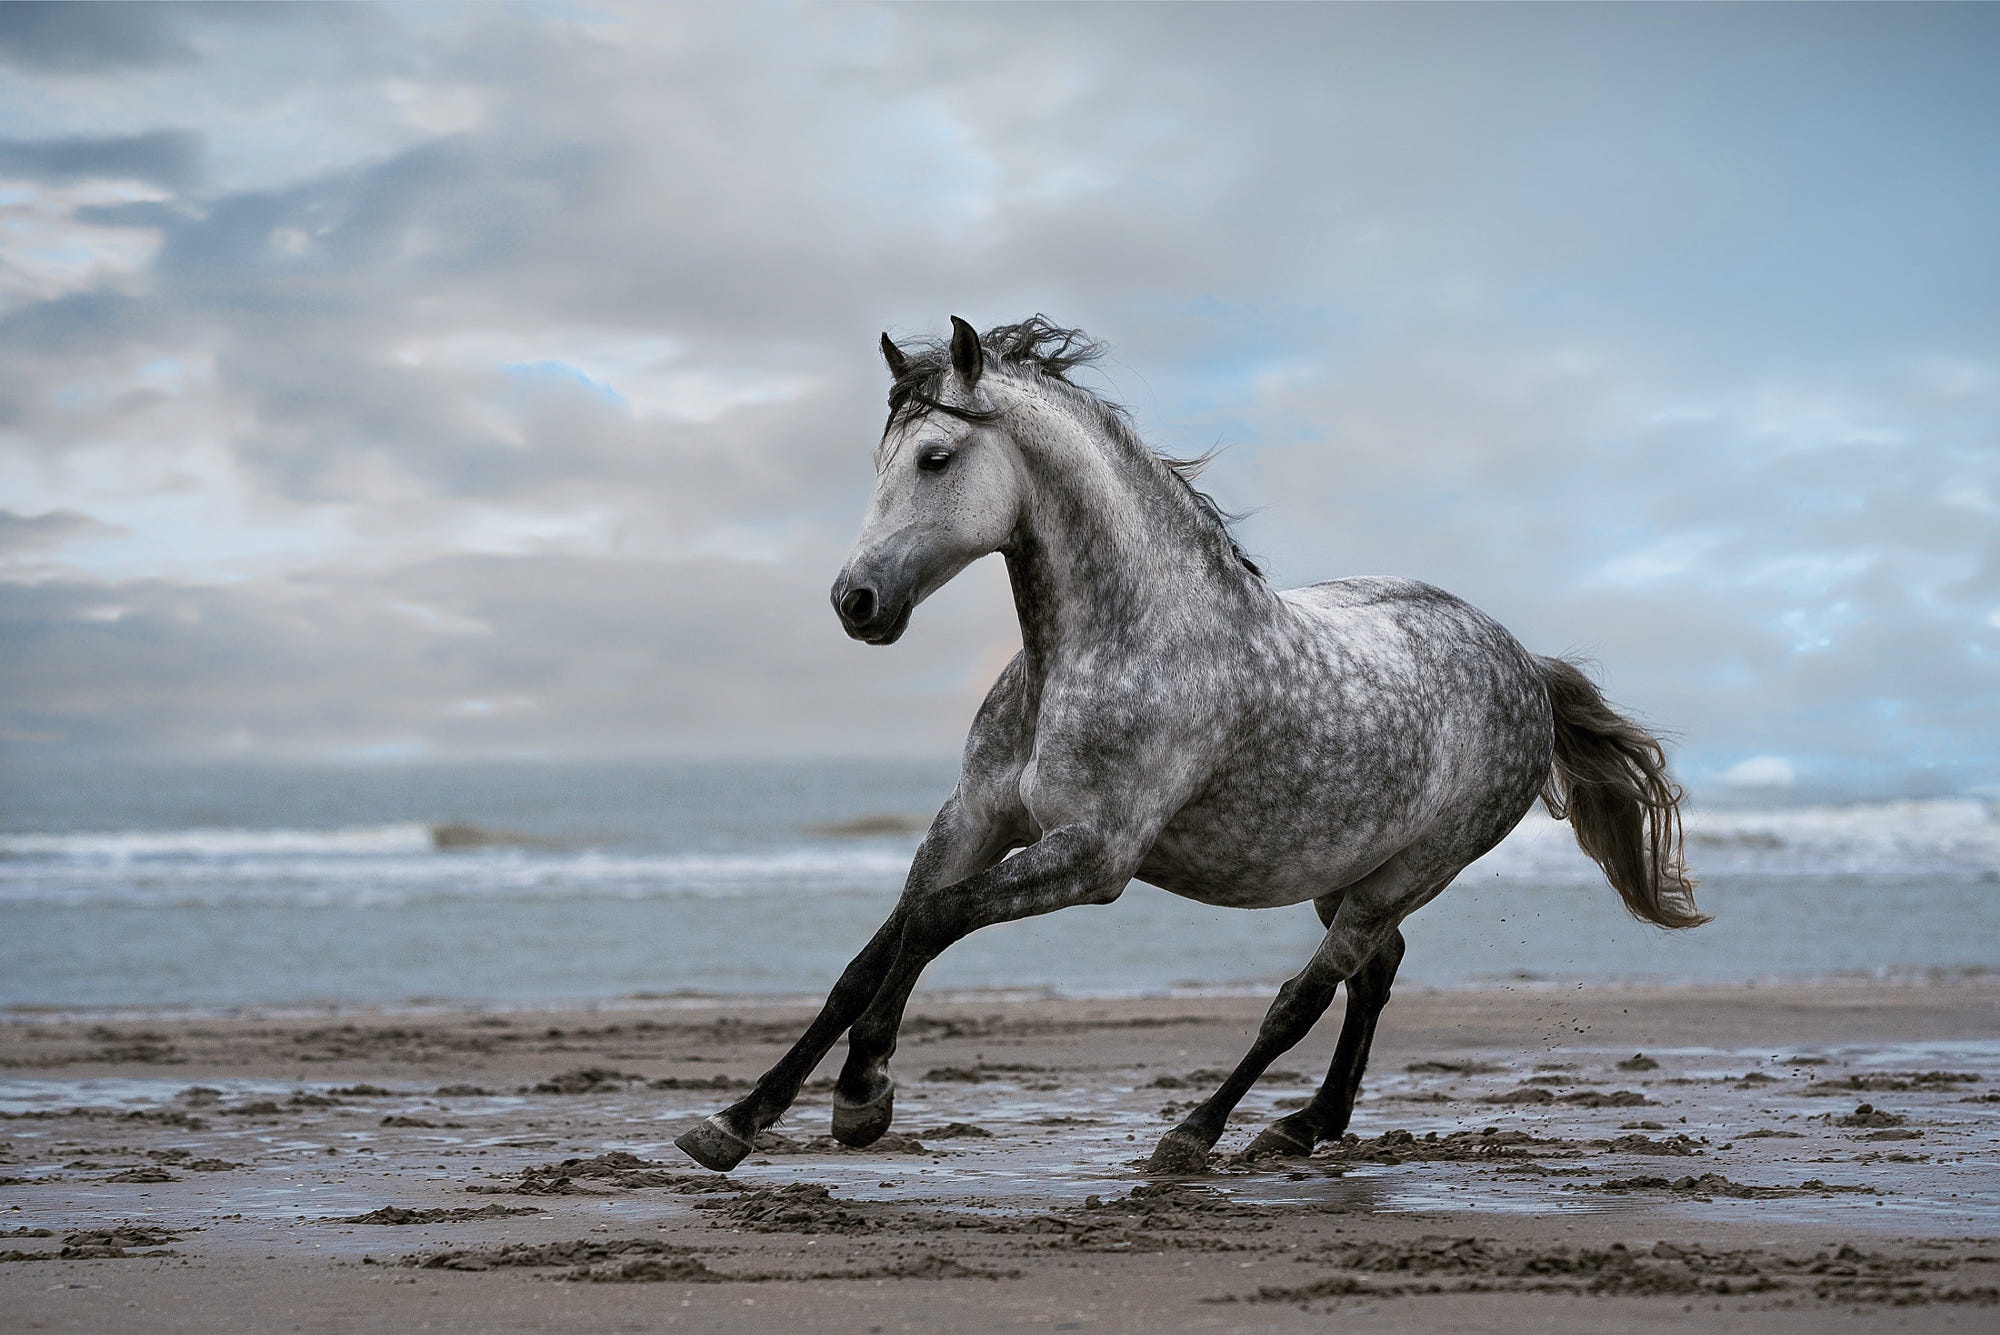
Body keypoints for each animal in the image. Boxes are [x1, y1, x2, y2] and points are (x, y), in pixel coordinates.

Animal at [680, 317, 1712, 1175]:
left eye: (936, 457)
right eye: (880, 460)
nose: (854, 602)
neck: (1113, 642)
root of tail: (1526, 666)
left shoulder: (1095, 856)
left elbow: (935, 921)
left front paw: (863, 1095)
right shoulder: (973, 816)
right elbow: (874, 952)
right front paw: (736, 1120)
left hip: (1407, 871)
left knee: (1306, 994)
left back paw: (1200, 1132)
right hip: (1345, 868)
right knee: (1377, 972)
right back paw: (1306, 1126)